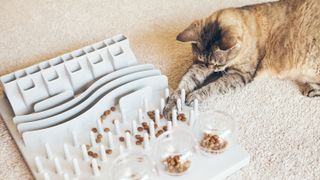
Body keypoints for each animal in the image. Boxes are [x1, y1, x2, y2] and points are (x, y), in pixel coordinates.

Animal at [164, 0, 318, 119]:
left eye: (217, 64)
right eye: (204, 61)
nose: (209, 68)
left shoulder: (240, 74)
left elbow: (214, 86)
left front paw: (195, 95)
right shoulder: (198, 65)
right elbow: (184, 84)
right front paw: (172, 105)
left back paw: (311, 89)